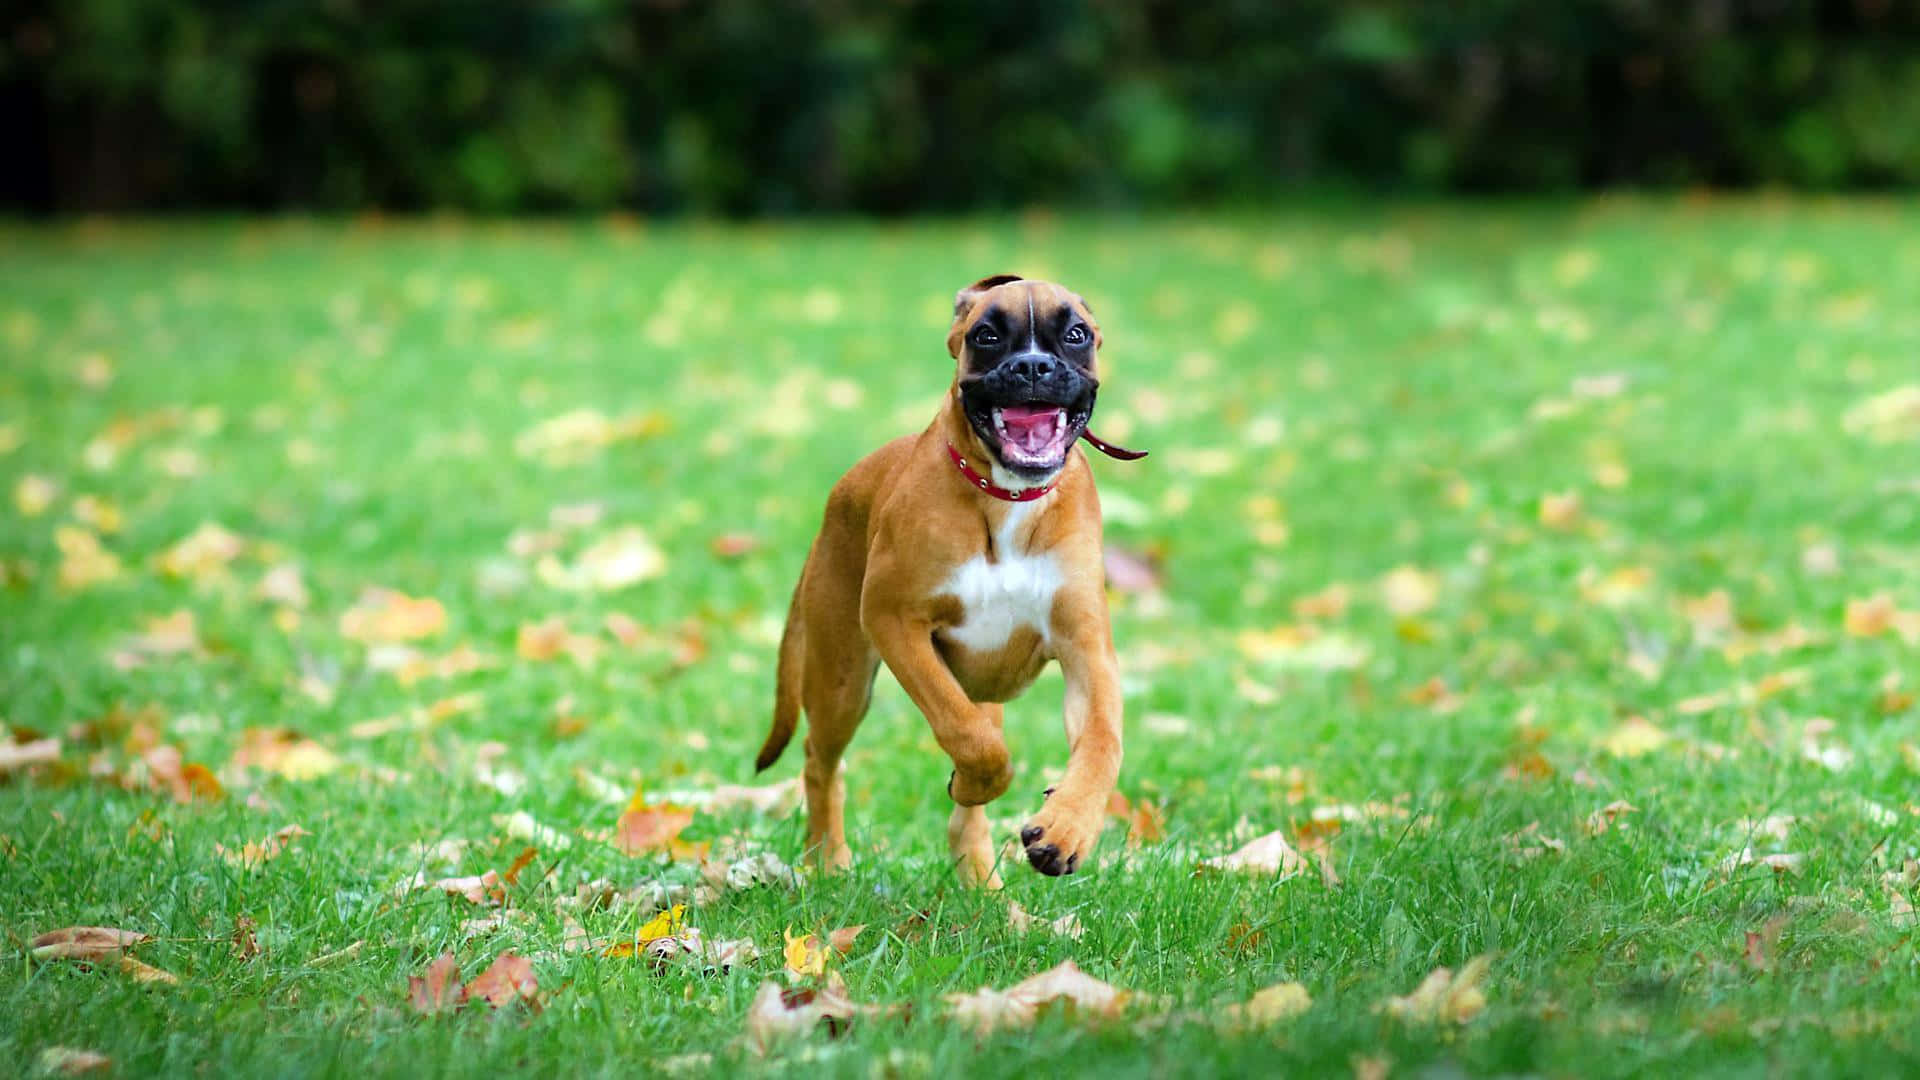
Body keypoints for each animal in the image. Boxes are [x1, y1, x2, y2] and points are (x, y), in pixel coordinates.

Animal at [748, 270, 1136, 883]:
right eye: (986, 336)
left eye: (1075, 333)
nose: (1032, 366)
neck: (1006, 497)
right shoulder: (895, 621)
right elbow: (968, 738)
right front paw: (978, 781)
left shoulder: (1086, 648)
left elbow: (1102, 742)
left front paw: (1066, 828)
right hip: (841, 678)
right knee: (820, 760)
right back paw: (828, 860)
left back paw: (979, 877)